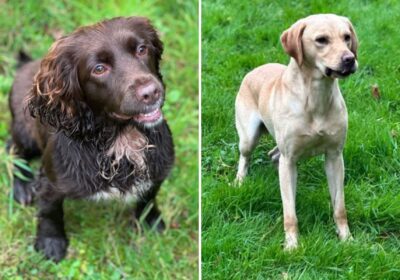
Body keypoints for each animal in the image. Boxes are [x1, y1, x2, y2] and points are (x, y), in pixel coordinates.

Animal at [234, 13, 360, 249]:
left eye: (347, 37)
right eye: (321, 40)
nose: (349, 59)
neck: (316, 96)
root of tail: (254, 69)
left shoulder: (334, 156)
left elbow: (339, 207)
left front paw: (346, 238)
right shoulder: (290, 158)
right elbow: (289, 212)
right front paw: (292, 245)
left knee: (274, 154)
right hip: (248, 137)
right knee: (245, 157)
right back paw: (239, 180)